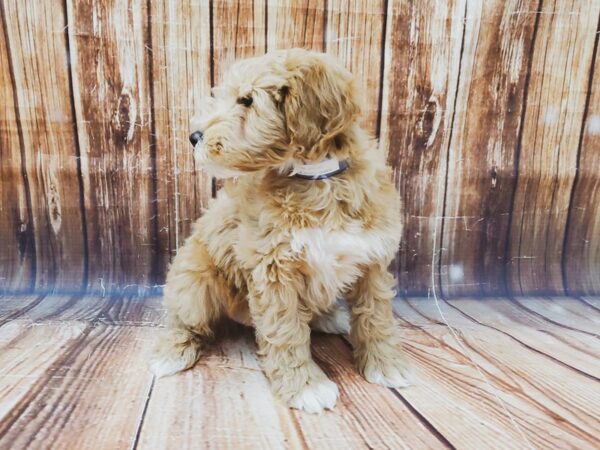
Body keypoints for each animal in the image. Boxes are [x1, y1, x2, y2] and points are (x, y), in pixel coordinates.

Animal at [152, 47, 410, 414]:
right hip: (193, 281)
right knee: (184, 320)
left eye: (247, 101)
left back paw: (330, 317)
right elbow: (286, 331)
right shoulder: (273, 269)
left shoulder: (372, 259)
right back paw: (173, 352)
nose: (194, 137)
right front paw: (305, 386)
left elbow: (376, 317)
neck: (318, 179)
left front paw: (386, 364)